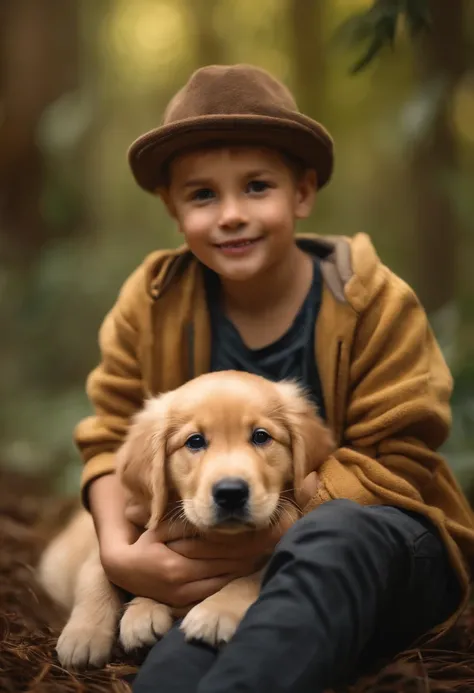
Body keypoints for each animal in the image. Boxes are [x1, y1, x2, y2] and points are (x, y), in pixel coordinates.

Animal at [37, 370, 334, 668]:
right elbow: (99, 570)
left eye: (261, 437)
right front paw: (86, 632)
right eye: (195, 441)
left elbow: (255, 575)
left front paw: (214, 612)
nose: (230, 493)